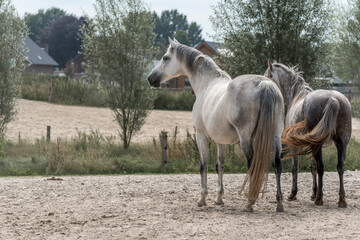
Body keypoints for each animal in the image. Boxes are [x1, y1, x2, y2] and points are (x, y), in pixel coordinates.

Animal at [148, 39, 286, 212]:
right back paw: (279, 203)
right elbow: (220, 165)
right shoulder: (222, 141)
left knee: (252, 166)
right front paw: (219, 198)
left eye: (165, 58)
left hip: (246, 139)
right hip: (276, 136)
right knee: (277, 165)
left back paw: (249, 202)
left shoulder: (201, 136)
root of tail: (265, 84)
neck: (207, 83)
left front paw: (202, 199)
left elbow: (203, 166)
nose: (150, 78)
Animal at [264, 62, 352, 208]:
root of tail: (333, 98)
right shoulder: (312, 145)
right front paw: (313, 193)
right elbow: (313, 167)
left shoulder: (295, 145)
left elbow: (295, 167)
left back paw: (319, 199)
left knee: (322, 166)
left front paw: (293, 194)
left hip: (321, 144)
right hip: (342, 143)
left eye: (267, 76)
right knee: (340, 166)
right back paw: (341, 200)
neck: (297, 97)